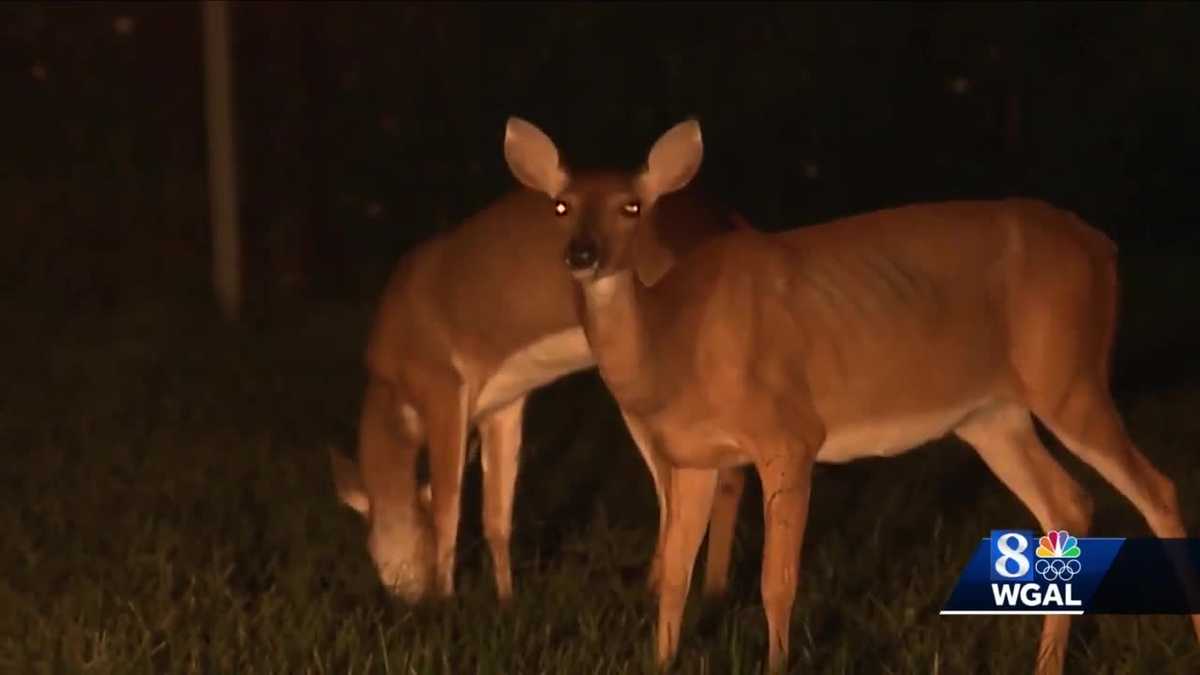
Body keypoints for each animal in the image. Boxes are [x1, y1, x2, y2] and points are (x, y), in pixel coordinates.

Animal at [329, 156, 750, 605]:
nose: (409, 601)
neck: (392, 387)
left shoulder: (443, 385)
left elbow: (447, 507)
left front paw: (446, 601)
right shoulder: (502, 404)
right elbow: (497, 515)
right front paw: (505, 599)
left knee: (682, 487)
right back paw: (710, 590)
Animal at [501, 115, 1199, 674]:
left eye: (632, 207)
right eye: (560, 205)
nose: (582, 255)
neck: (676, 340)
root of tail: (1102, 248)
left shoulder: (789, 434)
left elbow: (776, 582)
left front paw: (777, 665)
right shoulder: (696, 457)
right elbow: (675, 577)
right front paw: (662, 660)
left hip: (1069, 372)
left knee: (1158, 490)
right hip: (991, 414)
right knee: (1069, 503)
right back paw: (1046, 665)